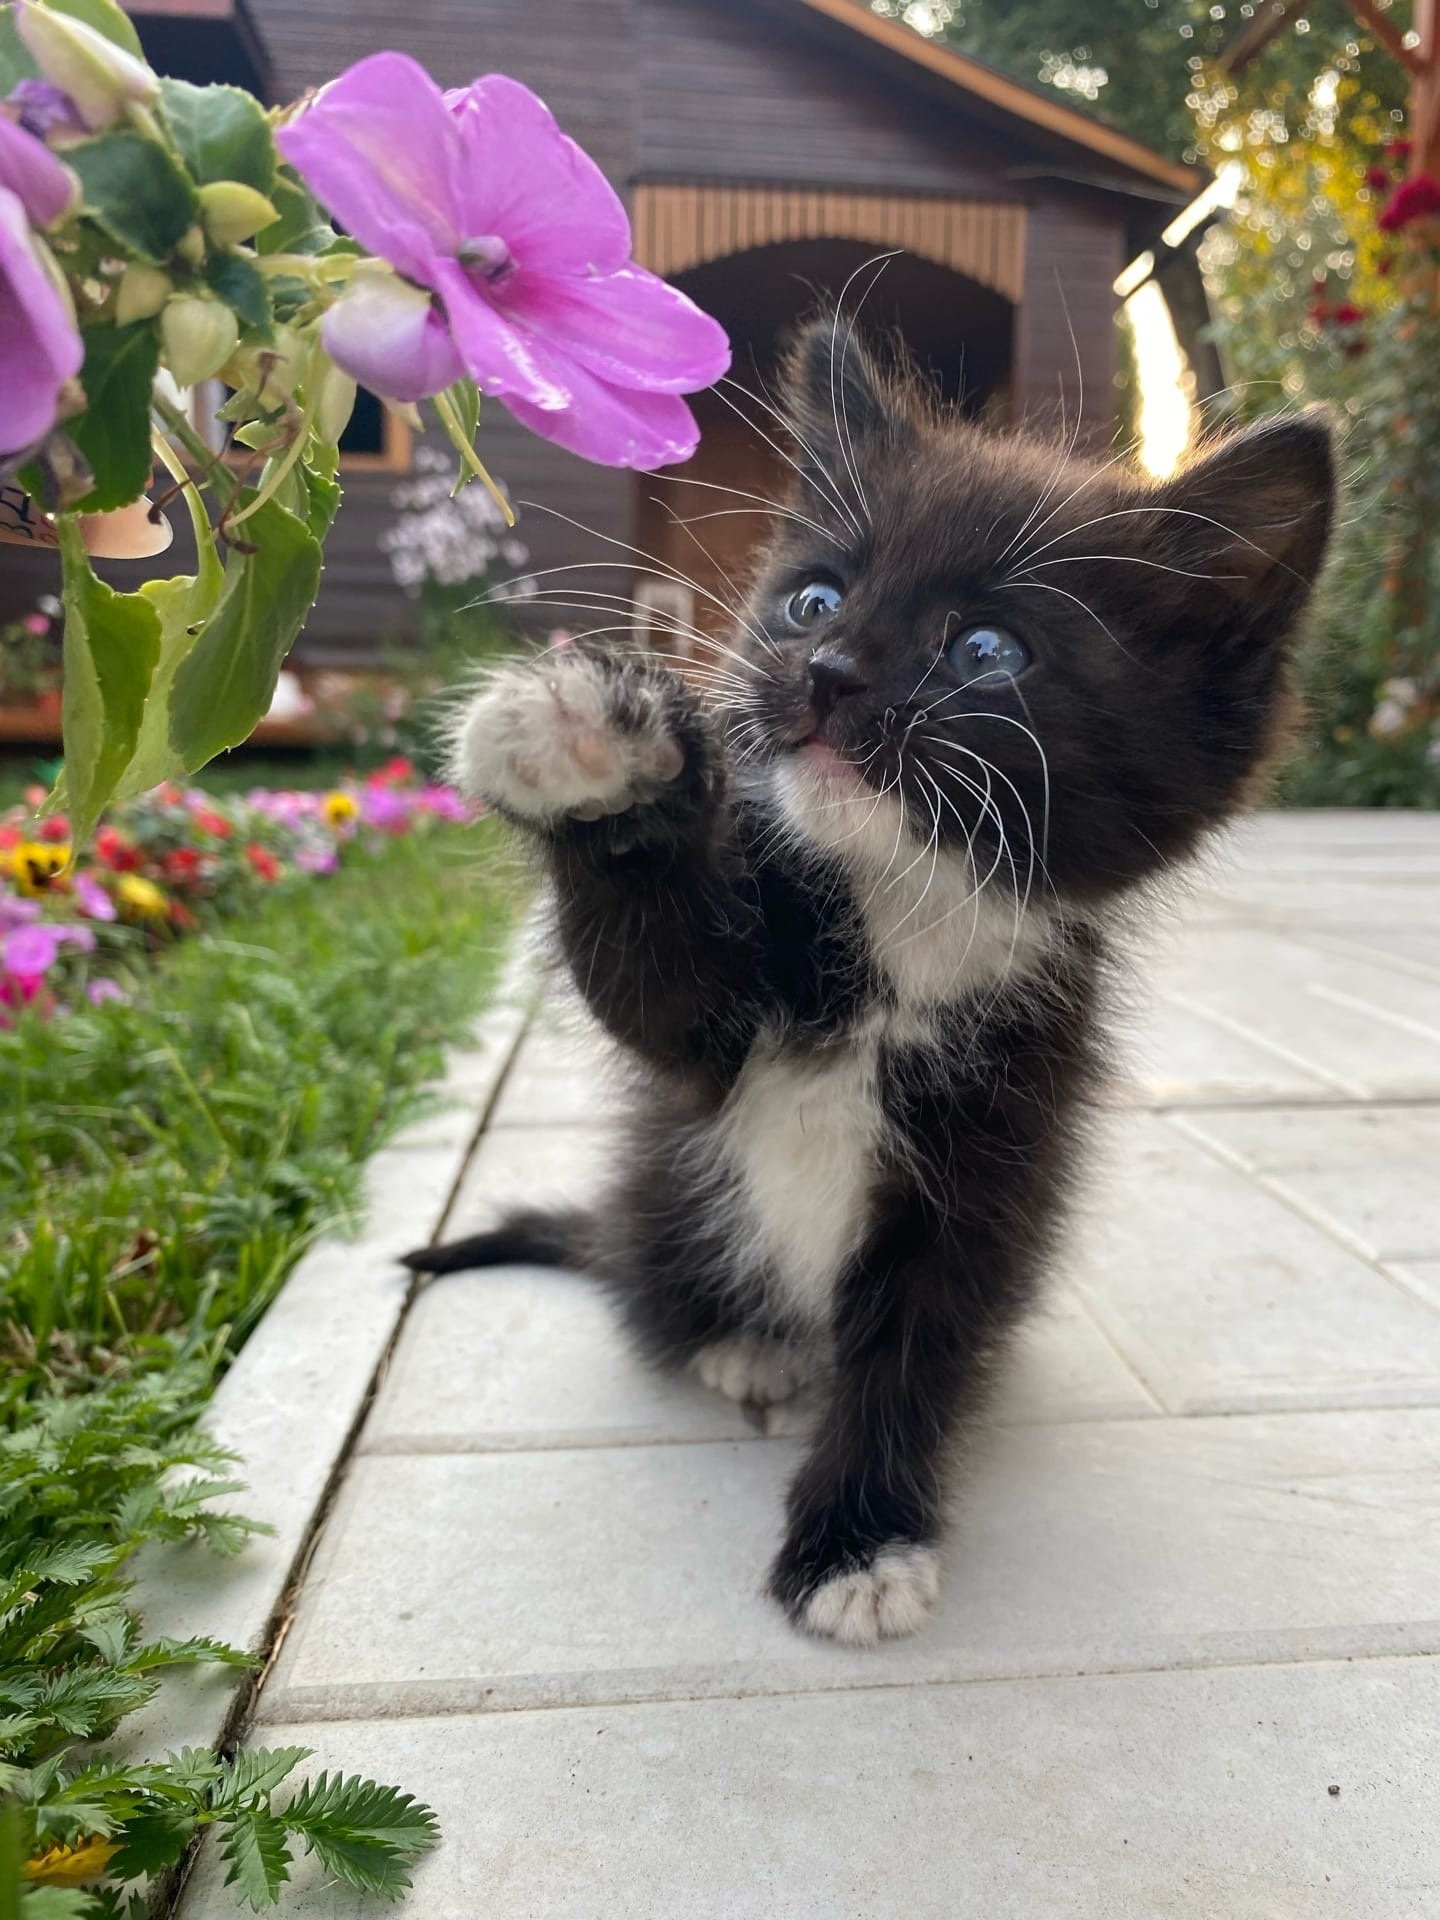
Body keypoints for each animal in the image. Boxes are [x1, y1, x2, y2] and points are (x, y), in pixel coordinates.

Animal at [403, 326, 1328, 1651]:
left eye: (988, 652)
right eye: (815, 600)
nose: (829, 672)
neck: (901, 930)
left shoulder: (1001, 1147)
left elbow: (918, 1340)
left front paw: (860, 1538)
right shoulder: (711, 1029)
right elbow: (651, 987)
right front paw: (590, 754)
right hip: (672, 1201)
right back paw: (751, 1347)